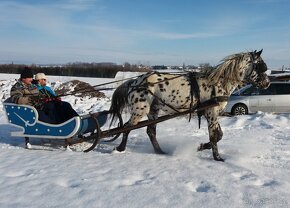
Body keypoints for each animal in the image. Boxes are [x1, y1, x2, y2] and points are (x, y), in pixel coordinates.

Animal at [109, 50, 270, 161]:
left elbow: (219, 135)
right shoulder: (212, 113)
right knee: (127, 127)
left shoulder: (213, 113)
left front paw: (201, 147)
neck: (218, 82)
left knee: (151, 131)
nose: (267, 83)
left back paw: (159, 151)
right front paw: (217, 157)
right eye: (261, 66)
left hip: (153, 110)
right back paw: (120, 148)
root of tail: (134, 81)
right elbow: (214, 136)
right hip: (140, 110)